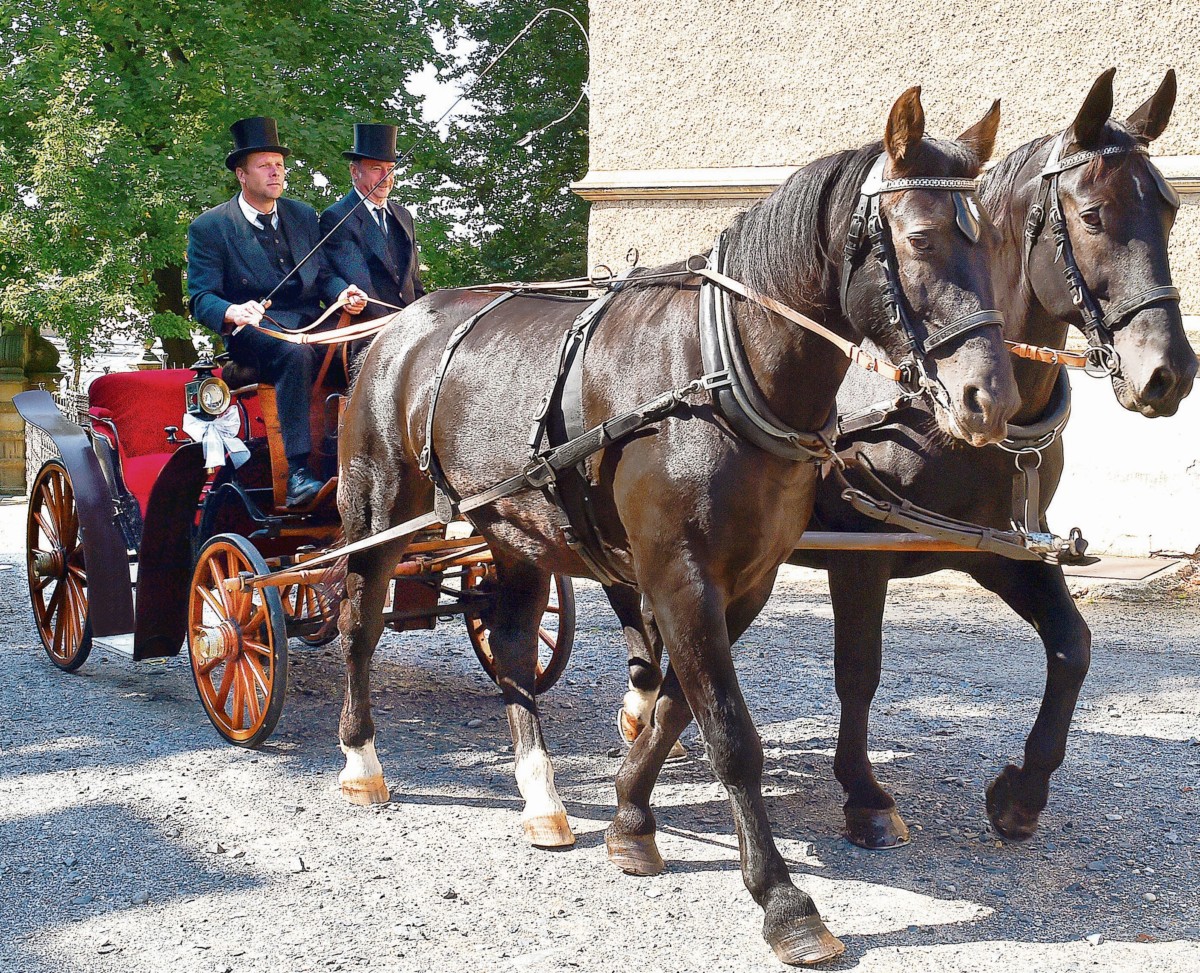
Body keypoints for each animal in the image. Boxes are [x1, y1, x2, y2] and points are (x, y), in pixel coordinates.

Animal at [333, 89, 1017, 964]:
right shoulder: (679, 573)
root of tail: (395, 326)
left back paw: (541, 795)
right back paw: (360, 759)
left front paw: (630, 819)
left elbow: (673, 706)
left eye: (992, 239)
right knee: (359, 622)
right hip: (380, 509)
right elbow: (729, 731)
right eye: (921, 237)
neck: (719, 375)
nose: (989, 399)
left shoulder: (743, 580)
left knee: (513, 643)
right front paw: (784, 901)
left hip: (516, 527)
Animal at [624, 68, 1195, 849]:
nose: (1169, 373)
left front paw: (1022, 793)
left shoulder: (996, 547)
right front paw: (863, 794)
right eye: (1094, 216)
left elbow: (1072, 645)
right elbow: (858, 670)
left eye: (1168, 211)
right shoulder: (861, 552)